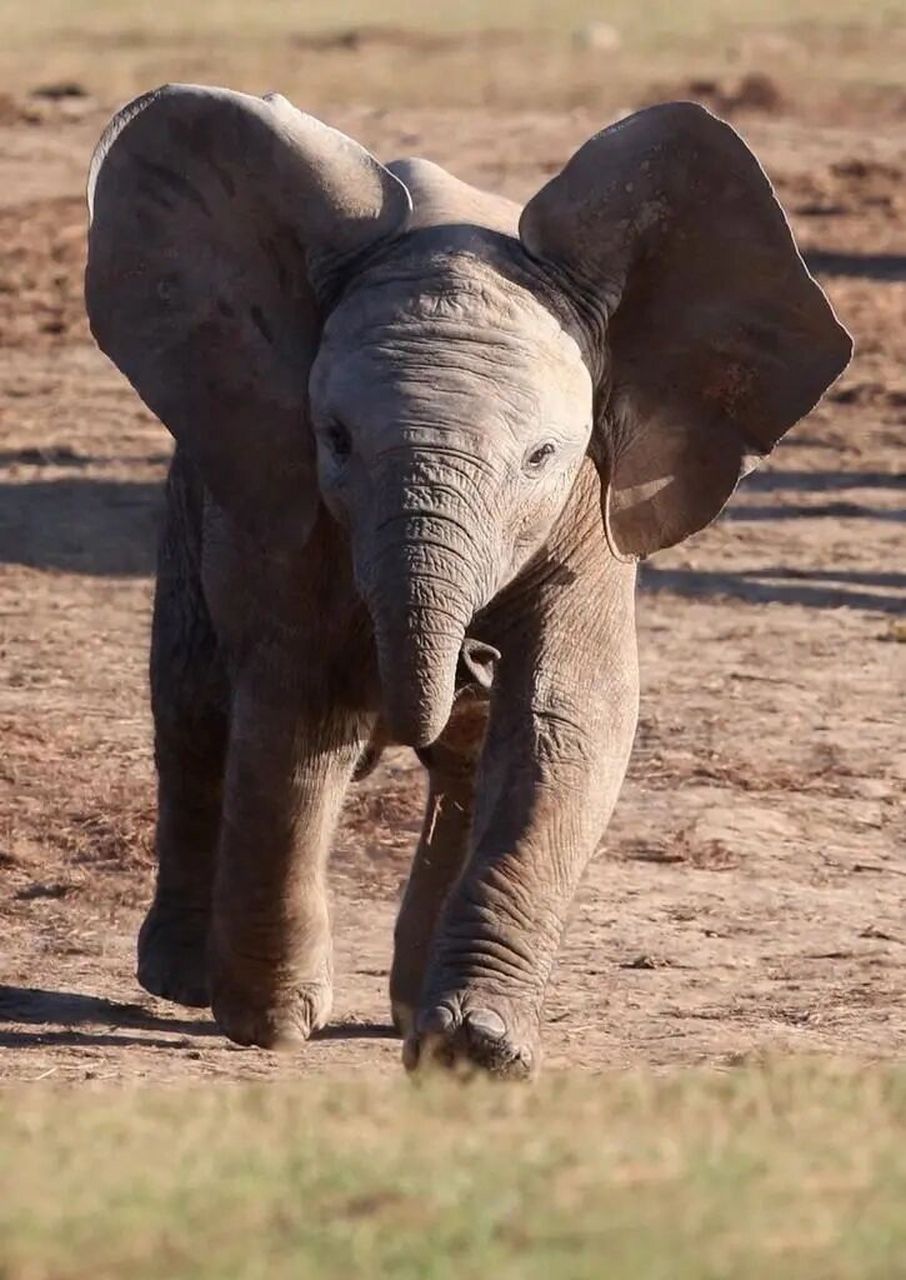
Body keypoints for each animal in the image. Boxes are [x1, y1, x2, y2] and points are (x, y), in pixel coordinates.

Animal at [85, 85, 849, 1075]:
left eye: (540, 457)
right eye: (335, 439)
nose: (472, 659)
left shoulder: (591, 502)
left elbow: (565, 718)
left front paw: (473, 1050)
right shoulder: (289, 497)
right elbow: (301, 709)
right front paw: (269, 1023)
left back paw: (409, 1006)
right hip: (202, 474)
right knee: (194, 699)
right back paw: (182, 979)